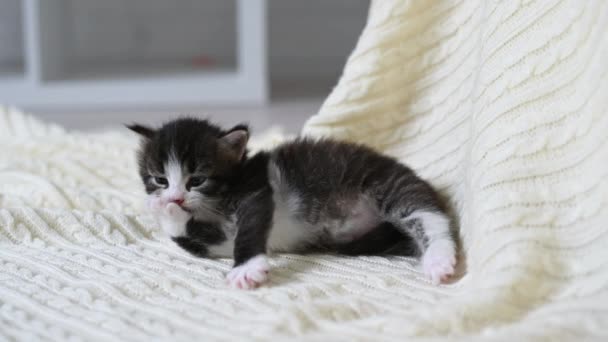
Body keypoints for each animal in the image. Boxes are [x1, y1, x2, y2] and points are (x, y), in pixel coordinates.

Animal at [129, 117, 456, 288]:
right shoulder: (218, 239)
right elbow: (197, 240)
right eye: (159, 179)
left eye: (196, 180)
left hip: (388, 184)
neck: (216, 204)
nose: (175, 196)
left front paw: (247, 268)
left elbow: (248, 231)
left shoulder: (257, 191)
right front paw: (163, 209)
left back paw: (439, 259)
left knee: (429, 216)